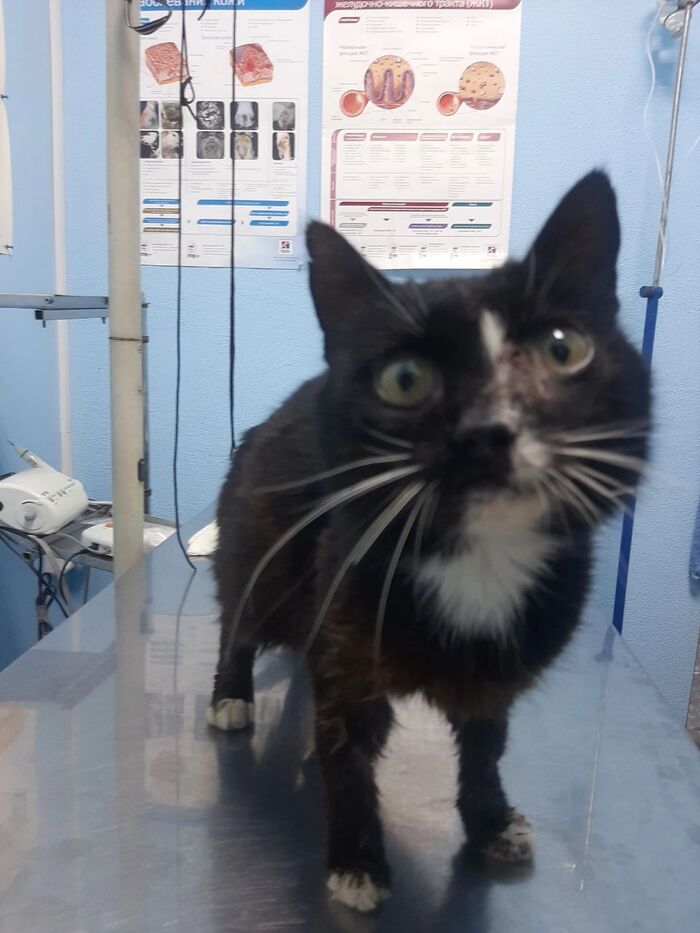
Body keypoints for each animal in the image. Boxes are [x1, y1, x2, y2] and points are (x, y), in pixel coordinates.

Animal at [208, 172, 651, 913]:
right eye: (405, 379)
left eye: (561, 349)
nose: (486, 430)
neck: (478, 560)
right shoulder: (347, 619)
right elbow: (347, 748)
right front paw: (357, 860)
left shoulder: (498, 669)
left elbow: (487, 743)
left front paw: (490, 819)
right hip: (259, 543)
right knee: (241, 617)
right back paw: (231, 694)